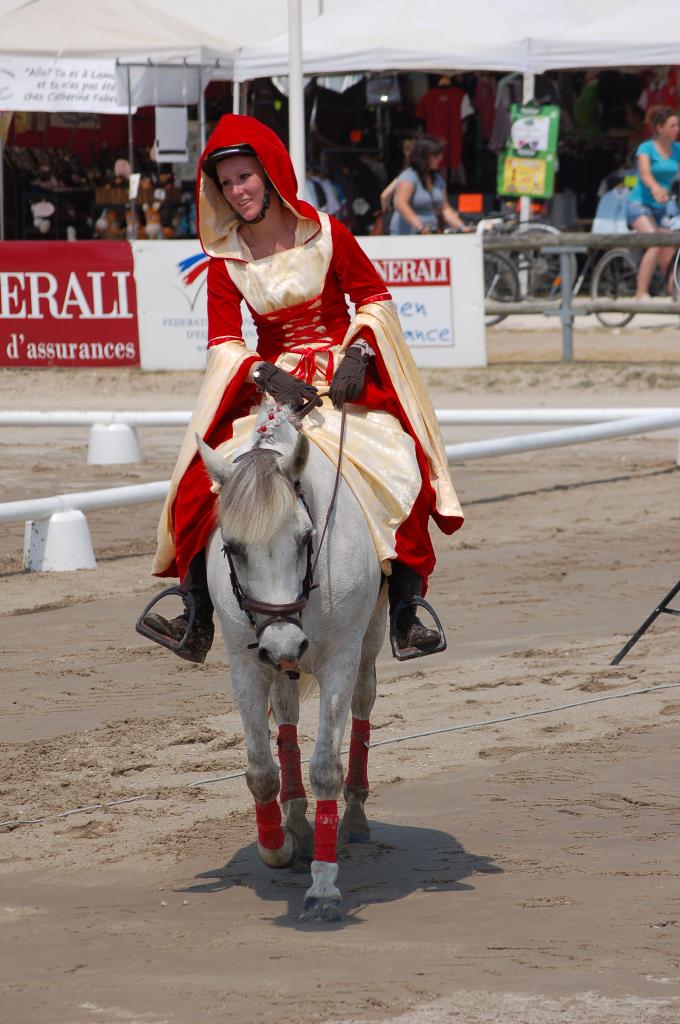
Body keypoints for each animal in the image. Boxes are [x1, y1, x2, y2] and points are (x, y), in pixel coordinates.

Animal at [199, 403, 385, 925]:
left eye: (306, 539)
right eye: (232, 548)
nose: (284, 640)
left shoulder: (341, 657)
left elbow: (326, 767)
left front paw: (323, 889)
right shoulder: (246, 662)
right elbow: (261, 769)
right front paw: (278, 848)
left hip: (368, 642)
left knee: (362, 709)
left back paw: (354, 817)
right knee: (285, 717)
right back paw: (296, 820)